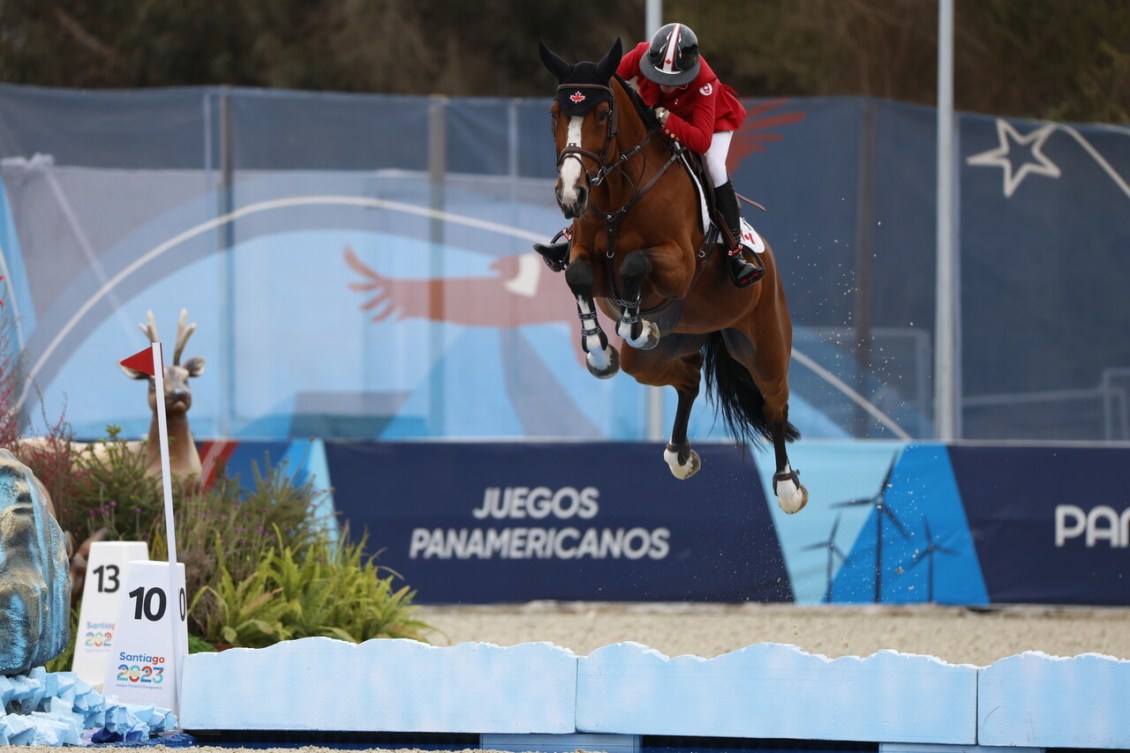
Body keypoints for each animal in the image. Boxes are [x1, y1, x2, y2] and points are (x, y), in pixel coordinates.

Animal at [535, 38, 809, 513]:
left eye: (602, 114)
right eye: (555, 112)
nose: (570, 195)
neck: (618, 191)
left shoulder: (679, 265)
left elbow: (634, 264)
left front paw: (634, 322)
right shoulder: (586, 258)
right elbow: (579, 277)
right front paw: (600, 351)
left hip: (764, 343)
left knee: (775, 401)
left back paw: (787, 485)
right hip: (660, 353)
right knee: (688, 376)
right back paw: (679, 453)